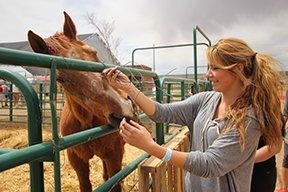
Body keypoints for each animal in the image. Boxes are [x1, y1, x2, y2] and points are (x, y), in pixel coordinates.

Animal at [27, 12, 138, 192]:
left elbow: (115, 183)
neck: (86, 123)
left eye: (93, 52)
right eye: (61, 79)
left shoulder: (114, 154)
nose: (124, 109)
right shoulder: (77, 160)